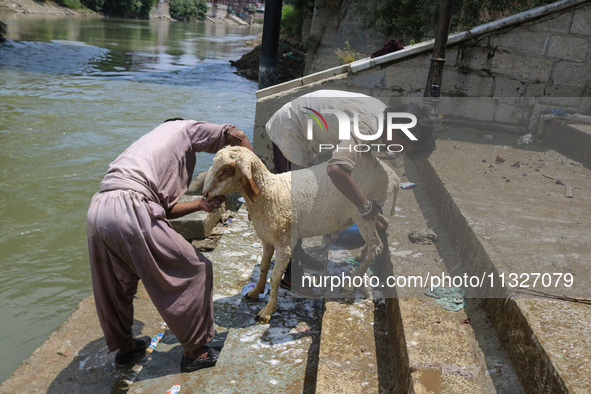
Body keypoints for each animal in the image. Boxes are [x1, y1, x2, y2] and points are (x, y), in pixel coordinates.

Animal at [204, 146, 402, 322]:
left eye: (227, 169)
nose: (205, 194)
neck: (269, 192)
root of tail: (392, 175)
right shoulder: (267, 240)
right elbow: (263, 268)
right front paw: (255, 292)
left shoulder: (284, 244)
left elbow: (275, 277)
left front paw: (267, 311)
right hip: (370, 213)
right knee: (383, 225)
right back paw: (361, 256)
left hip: (362, 214)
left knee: (377, 246)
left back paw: (350, 284)